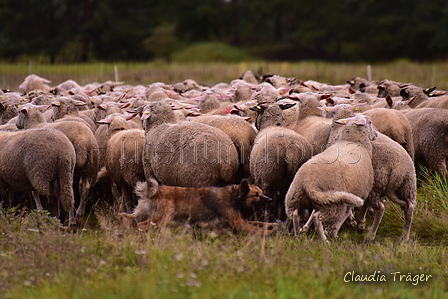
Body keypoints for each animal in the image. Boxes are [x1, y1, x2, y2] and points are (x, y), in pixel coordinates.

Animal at [121, 179, 274, 236]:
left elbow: (258, 222)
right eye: (256, 195)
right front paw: (270, 233)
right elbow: (256, 229)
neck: (234, 196)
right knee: (143, 225)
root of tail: (152, 191)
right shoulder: (238, 223)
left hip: (142, 214)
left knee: (128, 219)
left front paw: (273, 225)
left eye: (262, 192)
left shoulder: (240, 221)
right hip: (164, 215)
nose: (270, 200)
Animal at [286, 115, 376, 244]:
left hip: (297, 198)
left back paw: (298, 236)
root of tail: (309, 182)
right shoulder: (357, 193)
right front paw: (334, 232)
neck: (353, 141)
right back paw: (325, 241)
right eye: (370, 122)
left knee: (296, 214)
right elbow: (346, 213)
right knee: (318, 218)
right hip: (332, 203)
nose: (376, 135)